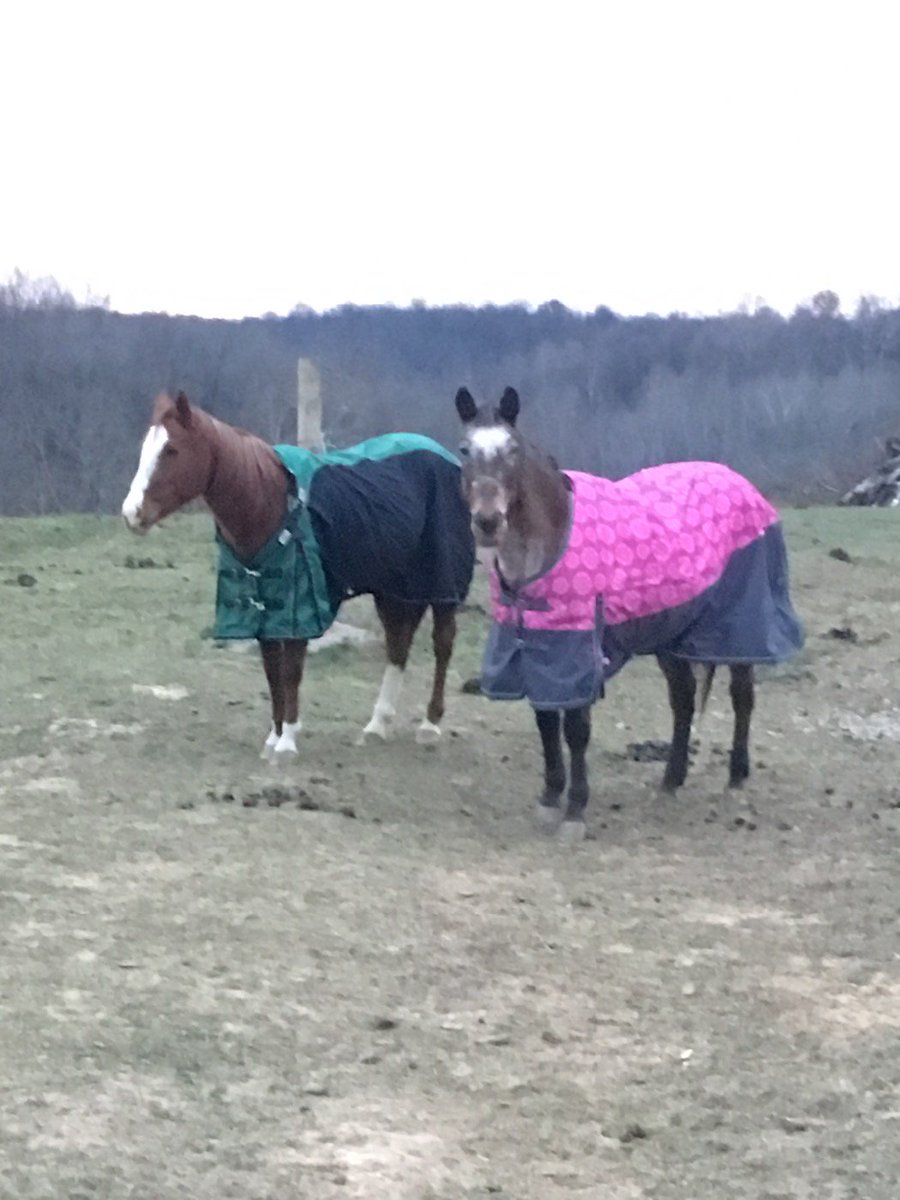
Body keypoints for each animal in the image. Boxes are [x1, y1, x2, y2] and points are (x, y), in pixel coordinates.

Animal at [122, 391, 475, 759]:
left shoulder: (298, 606)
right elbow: (272, 672)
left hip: (441, 583)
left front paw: (287, 742)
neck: (268, 503)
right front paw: (273, 737)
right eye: (146, 447)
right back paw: (377, 725)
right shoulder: (263, 605)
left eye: (171, 450)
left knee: (442, 643)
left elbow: (291, 672)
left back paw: (430, 724)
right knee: (398, 646)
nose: (132, 513)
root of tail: (447, 459)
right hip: (393, 589)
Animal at [455, 386, 805, 842]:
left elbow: (576, 731)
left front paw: (575, 811)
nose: (488, 522)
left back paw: (736, 778)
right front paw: (550, 800)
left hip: (739, 629)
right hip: (671, 635)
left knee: (741, 696)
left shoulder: (578, 653)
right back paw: (671, 780)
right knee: (683, 702)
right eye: (464, 449)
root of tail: (745, 486)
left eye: (512, 450)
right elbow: (545, 723)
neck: (549, 547)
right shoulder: (537, 648)